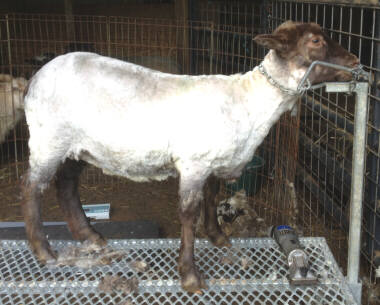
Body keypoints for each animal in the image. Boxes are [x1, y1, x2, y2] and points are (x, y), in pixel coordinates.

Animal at [20, 21, 360, 292]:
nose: (356, 60)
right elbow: (188, 213)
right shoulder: (194, 162)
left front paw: (217, 237)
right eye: (315, 41)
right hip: (49, 139)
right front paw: (191, 276)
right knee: (32, 188)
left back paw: (89, 236)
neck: (249, 101)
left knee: (66, 186)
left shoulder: (211, 162)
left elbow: (212, 196)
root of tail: (34, 79)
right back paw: (44, 250)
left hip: (76, 147)